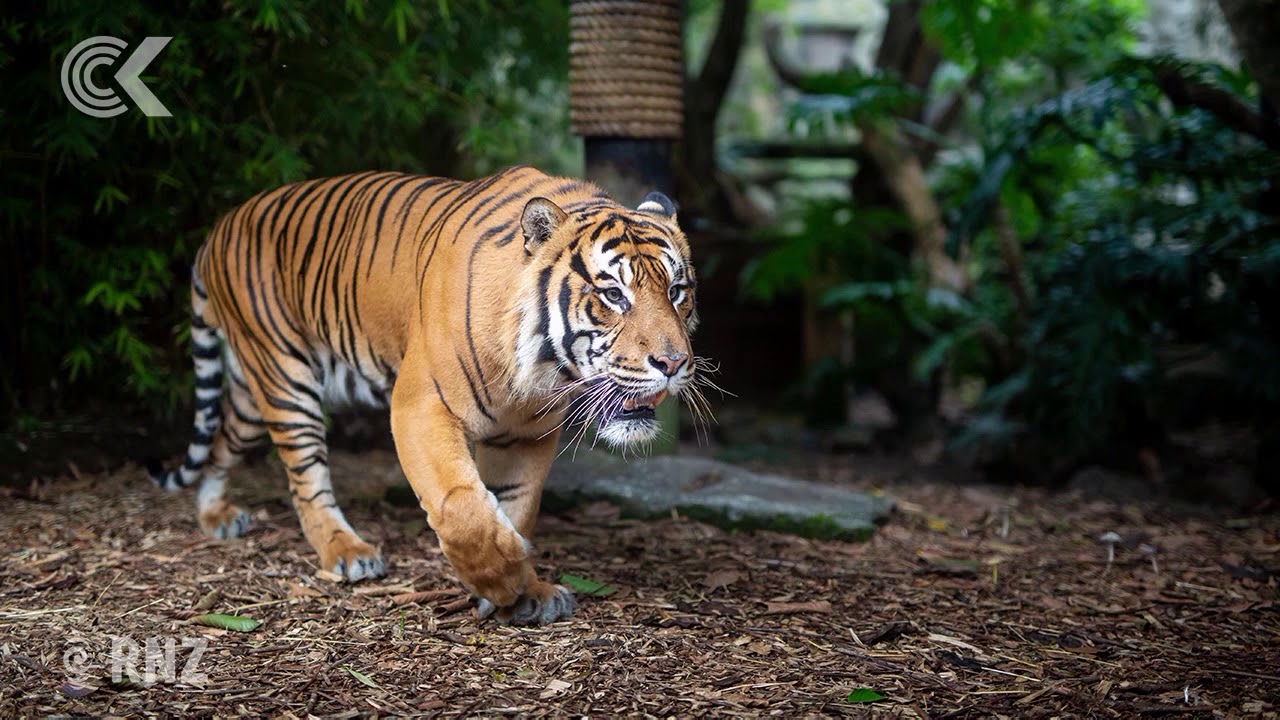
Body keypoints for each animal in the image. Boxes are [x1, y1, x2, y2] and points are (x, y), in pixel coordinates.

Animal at [148, 165, 701, 625]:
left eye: (676, 291)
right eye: (613, 295)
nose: (674, 364)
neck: (538, 371)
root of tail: (221, 225)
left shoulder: (526, 433)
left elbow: (516, 505)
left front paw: (526, 591)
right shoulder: (421, 405)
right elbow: (462, 508)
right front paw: (503, 577)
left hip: (249, 388)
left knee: (220, 440)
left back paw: (215, 515)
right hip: (285, 378)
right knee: (306, 481)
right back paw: (347, 552)